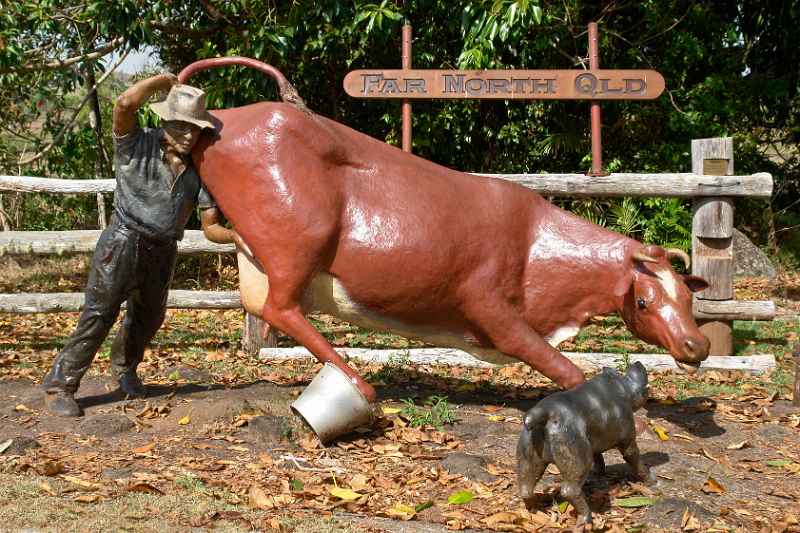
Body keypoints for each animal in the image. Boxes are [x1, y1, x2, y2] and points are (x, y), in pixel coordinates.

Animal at [180, 58, 708, 402]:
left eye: (687, 296)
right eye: (644, 301)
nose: (697, 345)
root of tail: (228, 117)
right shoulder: (490, 306)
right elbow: (565, 370)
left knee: (271, 305)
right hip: (297, 243)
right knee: (281, 307)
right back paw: (360, 386)